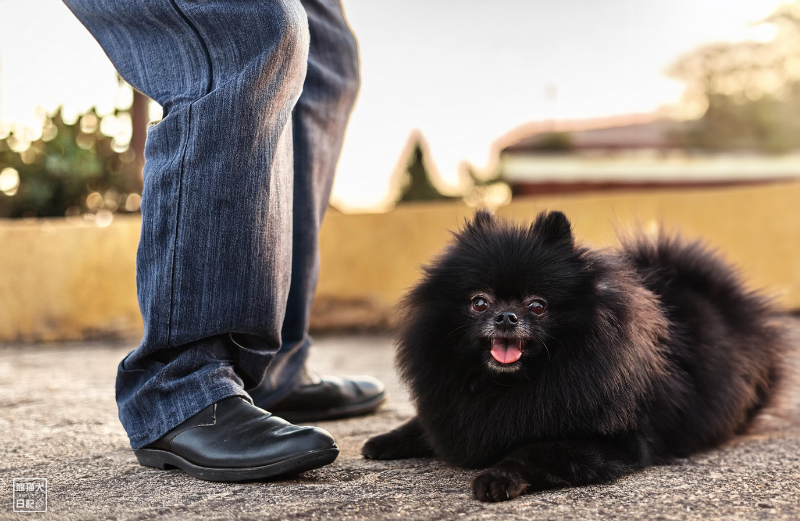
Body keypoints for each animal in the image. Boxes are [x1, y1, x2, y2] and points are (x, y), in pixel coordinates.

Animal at [364, 210, 788, 500]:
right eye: (479, 302)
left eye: (537, 306)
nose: (505, 316)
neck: (509, 385)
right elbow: (430, 424)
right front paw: (387, 439)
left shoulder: (609, 441)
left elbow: (535, 451)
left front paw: (499, 476)